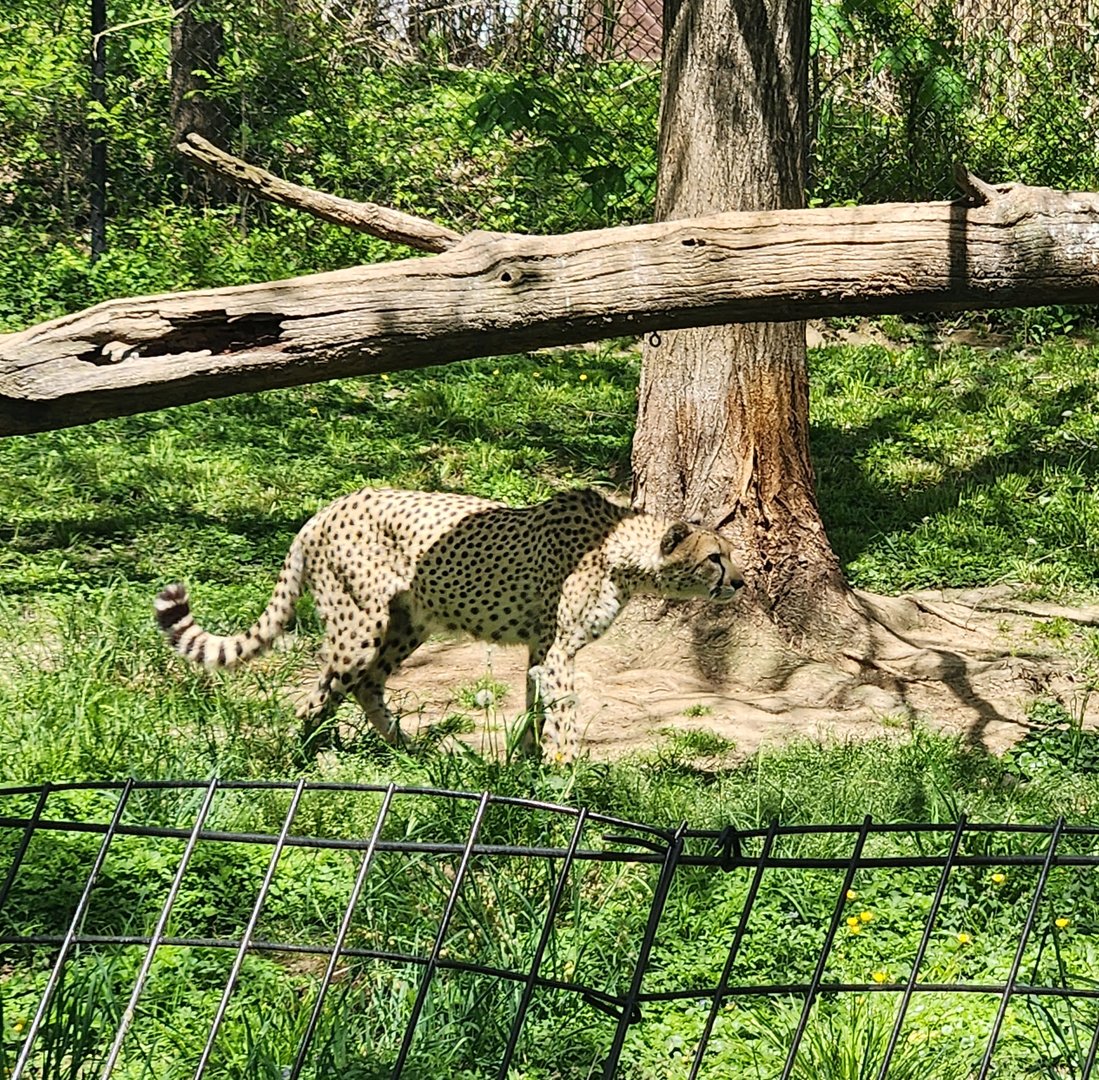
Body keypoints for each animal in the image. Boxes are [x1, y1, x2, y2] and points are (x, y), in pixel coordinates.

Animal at [154, 486, 745, 763]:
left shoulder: (541, 649)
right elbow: (563, 713)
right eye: (715, 558)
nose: (741, 583)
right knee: (320, 693)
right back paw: (304, 760)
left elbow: (534, 706)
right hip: (358, 626)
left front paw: (525, 763)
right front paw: (565, 773)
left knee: (367, 686)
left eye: (729, 554)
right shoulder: (557, 652)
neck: (622, 551)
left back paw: (406, 750)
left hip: (407, 623)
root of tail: (325, 510)